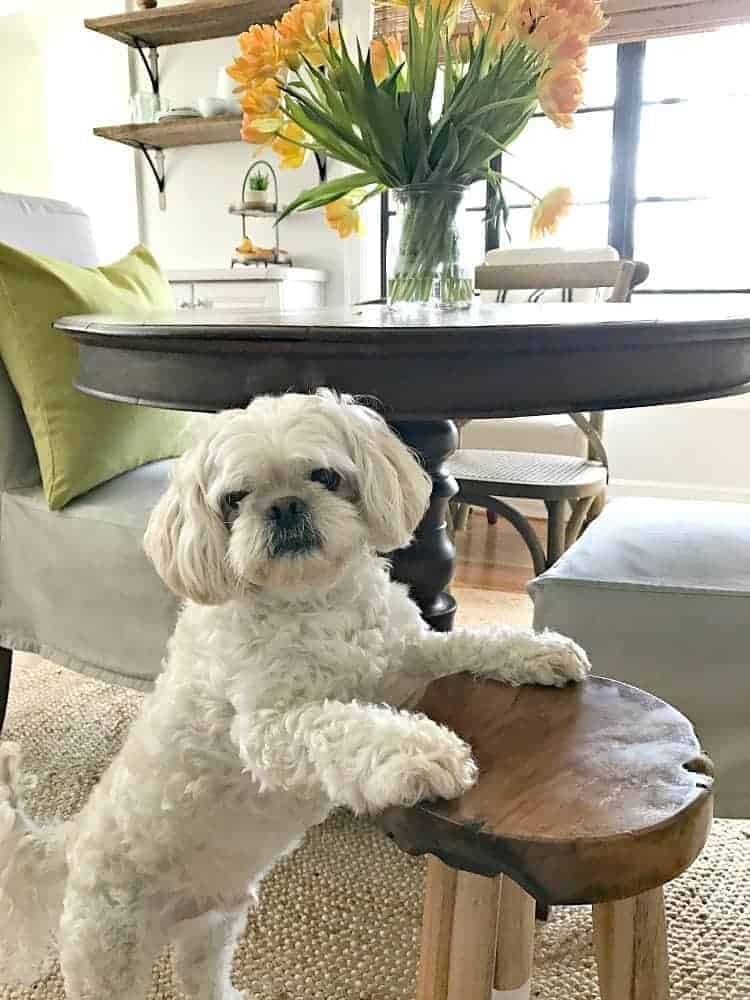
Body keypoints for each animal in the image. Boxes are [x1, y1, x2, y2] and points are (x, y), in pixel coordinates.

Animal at [0, 390, 592, 1000]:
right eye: (234, 499)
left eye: (324, 475)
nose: (284, 507)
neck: (314, 599)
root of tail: (69, 841)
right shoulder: (271, 729)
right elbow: (343, 724)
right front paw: (426, 753)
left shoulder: (404, 662)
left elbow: (466, 643)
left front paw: (537, 652)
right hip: (108, 953)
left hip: (213, 926)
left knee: (201, 978)